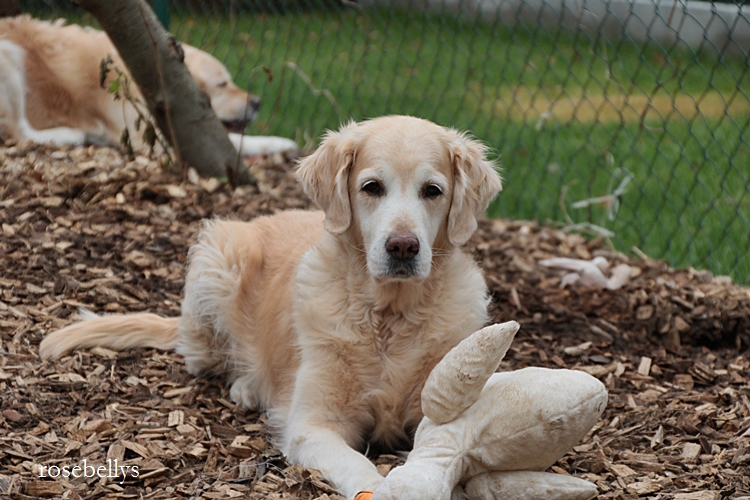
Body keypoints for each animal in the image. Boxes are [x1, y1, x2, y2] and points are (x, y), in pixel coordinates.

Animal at [0, 16, 298, 156]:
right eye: (223, 84)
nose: (258, 102)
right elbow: (236, 141)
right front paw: (280, 142)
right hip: (10, 55)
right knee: (19, 131)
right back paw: (73, 135)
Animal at [41, 116, 506, 496]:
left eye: (433, 191)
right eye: (372, 187)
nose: (404, 247)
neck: (389, 314)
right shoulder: (313, 425)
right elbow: (355, 463)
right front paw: (380, 486)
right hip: (221, 255)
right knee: (205, 359)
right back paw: (248, 385)